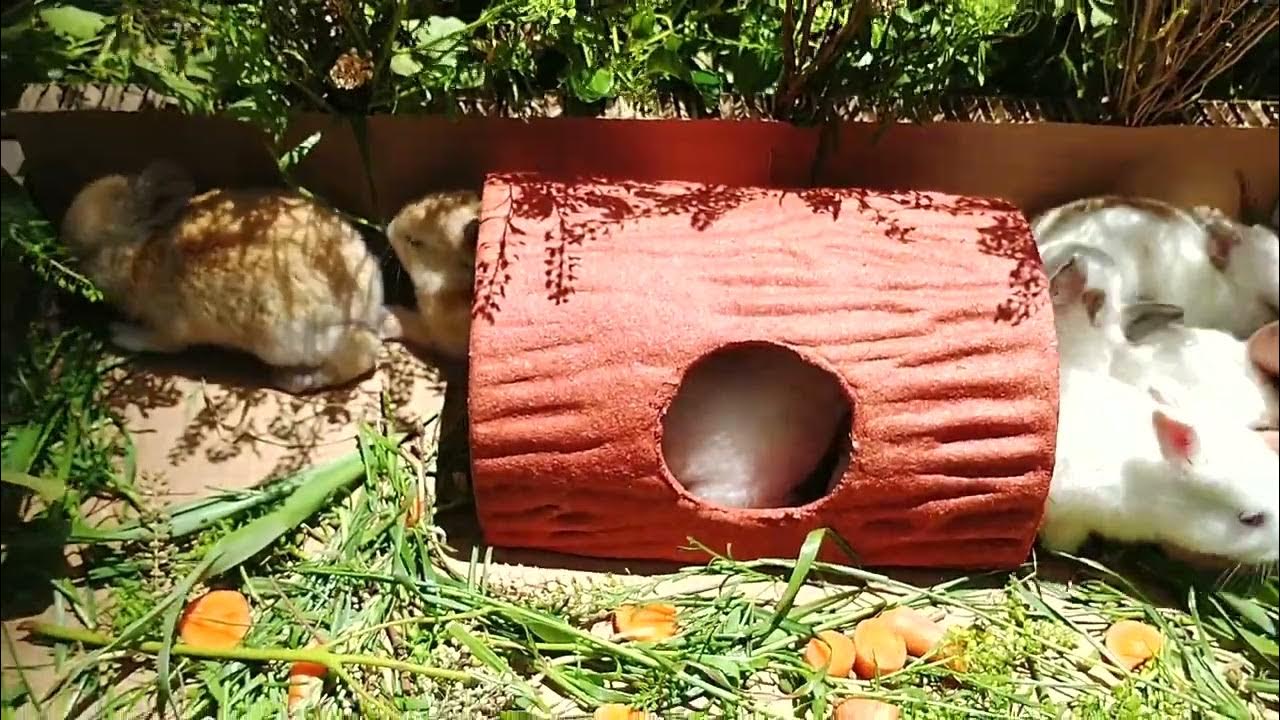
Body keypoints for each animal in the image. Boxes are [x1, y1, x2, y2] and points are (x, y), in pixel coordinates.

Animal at [60, 160, 407, 394]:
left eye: (89, 251)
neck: (143, 252)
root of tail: (367, 297)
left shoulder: (169, 328)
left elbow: (160, 343)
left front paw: (119, 333)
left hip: (290, 341)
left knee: (362, 355)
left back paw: (292, 379)